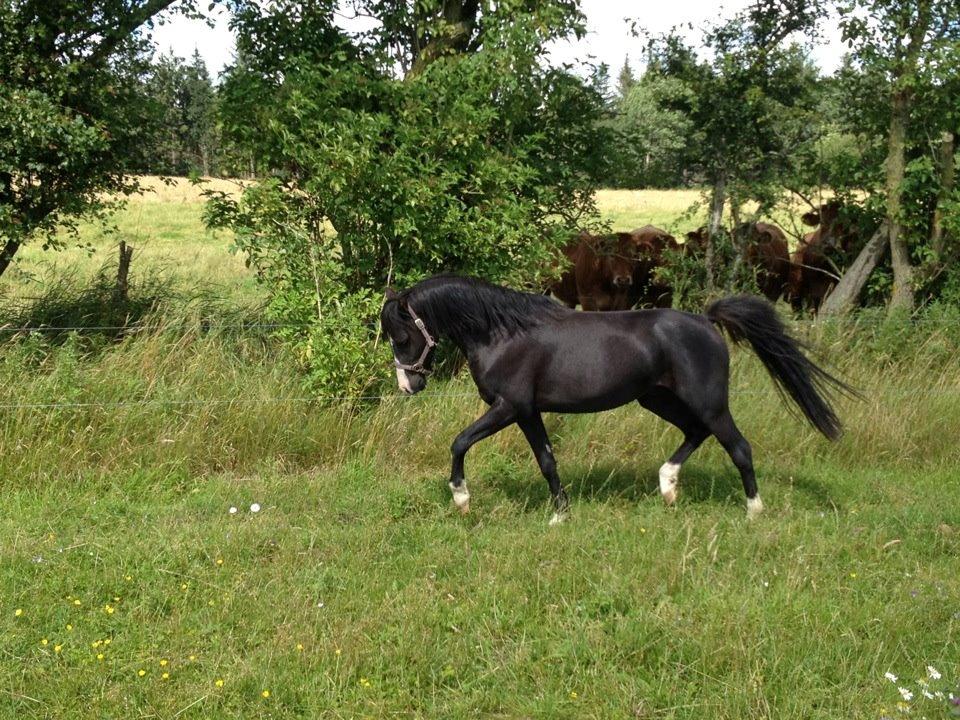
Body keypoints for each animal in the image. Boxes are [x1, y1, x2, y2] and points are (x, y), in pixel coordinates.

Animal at [381, 275, 852, 523]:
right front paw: (560, 514)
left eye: (401, 336)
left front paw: (462, 498)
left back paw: (753, 510)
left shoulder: (509, 407)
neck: (502, 333)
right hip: (658, 399)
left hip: (709, 401)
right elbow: (547, 460)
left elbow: (459, 442)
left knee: (738, 447)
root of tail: (706, 321)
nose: (408, 386)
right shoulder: (528, 412)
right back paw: (667, 487)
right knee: (695, 433)